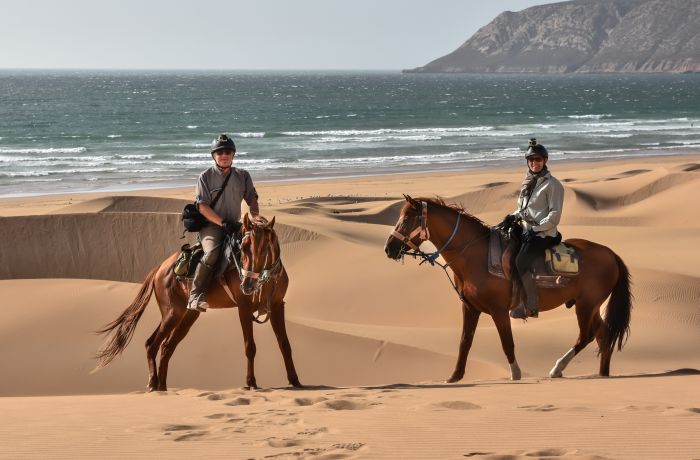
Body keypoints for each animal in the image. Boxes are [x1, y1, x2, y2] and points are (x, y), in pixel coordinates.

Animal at [93, 214, 300, 390]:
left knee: (167, 346)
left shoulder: (277, 306)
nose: (247, 284)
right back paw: (153, 383)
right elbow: (250, 346)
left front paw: (295, 380)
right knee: (152, 344)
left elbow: (285, 344)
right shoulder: (244, 308)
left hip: (188, 314)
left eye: (265, 248)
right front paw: (251, 382)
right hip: (172, 313)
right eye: (243, 247)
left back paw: (162, 387)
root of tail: (160, 268)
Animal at [386, 196, 632, 380]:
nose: (389, 248)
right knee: (603, 335)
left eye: (406, 220)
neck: (475, 255)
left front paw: (515, 373)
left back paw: (557, 368)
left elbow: (507, 343)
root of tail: (612, 255)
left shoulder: (499, 311)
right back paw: (602, 373)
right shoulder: (470, 308)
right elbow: (465, 341)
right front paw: (455, 375)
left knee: (586, 336)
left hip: (586, 305)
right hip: (591, 305)